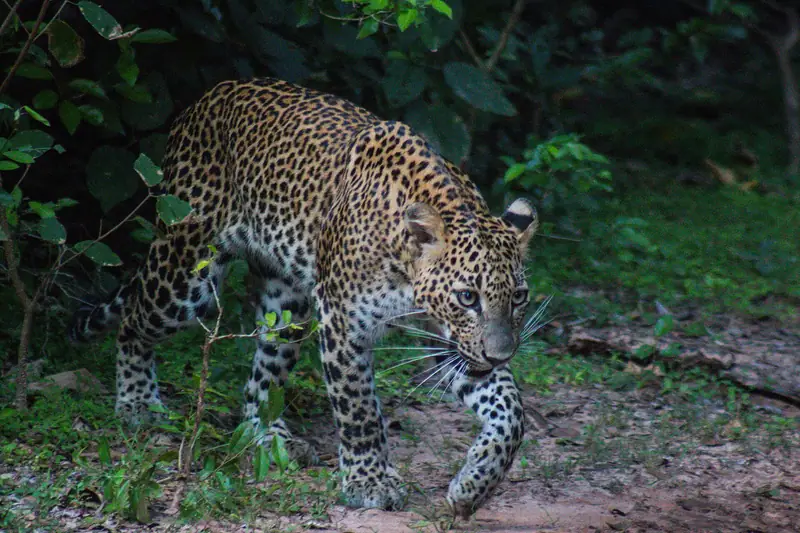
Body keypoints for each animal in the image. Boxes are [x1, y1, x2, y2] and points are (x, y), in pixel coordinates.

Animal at [69, 78, 538, 517]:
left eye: (518, 297)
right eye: (467, 297)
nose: (500, 355)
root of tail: (207, 97)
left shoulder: (452, 342)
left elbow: (511, 412)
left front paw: (474, 485)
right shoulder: (343, 322)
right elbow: (358, 409)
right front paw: (369, 483)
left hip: (286, 306)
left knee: (260, 380)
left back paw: (270, 437)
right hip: (185, 275)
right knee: (133, 318)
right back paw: (137, 403)